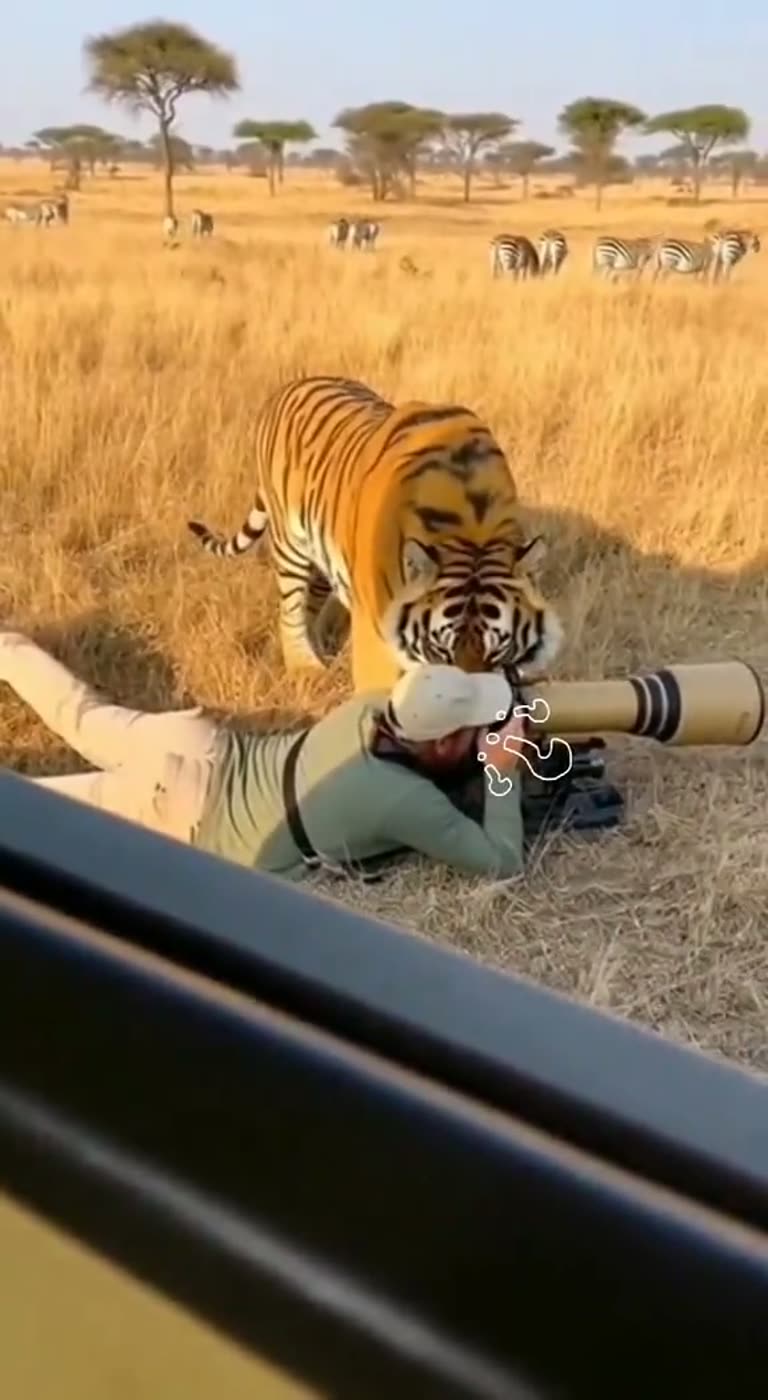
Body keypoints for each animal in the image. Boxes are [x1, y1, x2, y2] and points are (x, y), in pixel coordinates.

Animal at [187, 375, 563, 692]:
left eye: (497, 647)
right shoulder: (377, 630)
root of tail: (290, 386)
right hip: (291, 543)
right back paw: (306, 669)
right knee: (290, 610)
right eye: (442, 649)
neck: (471, 528)